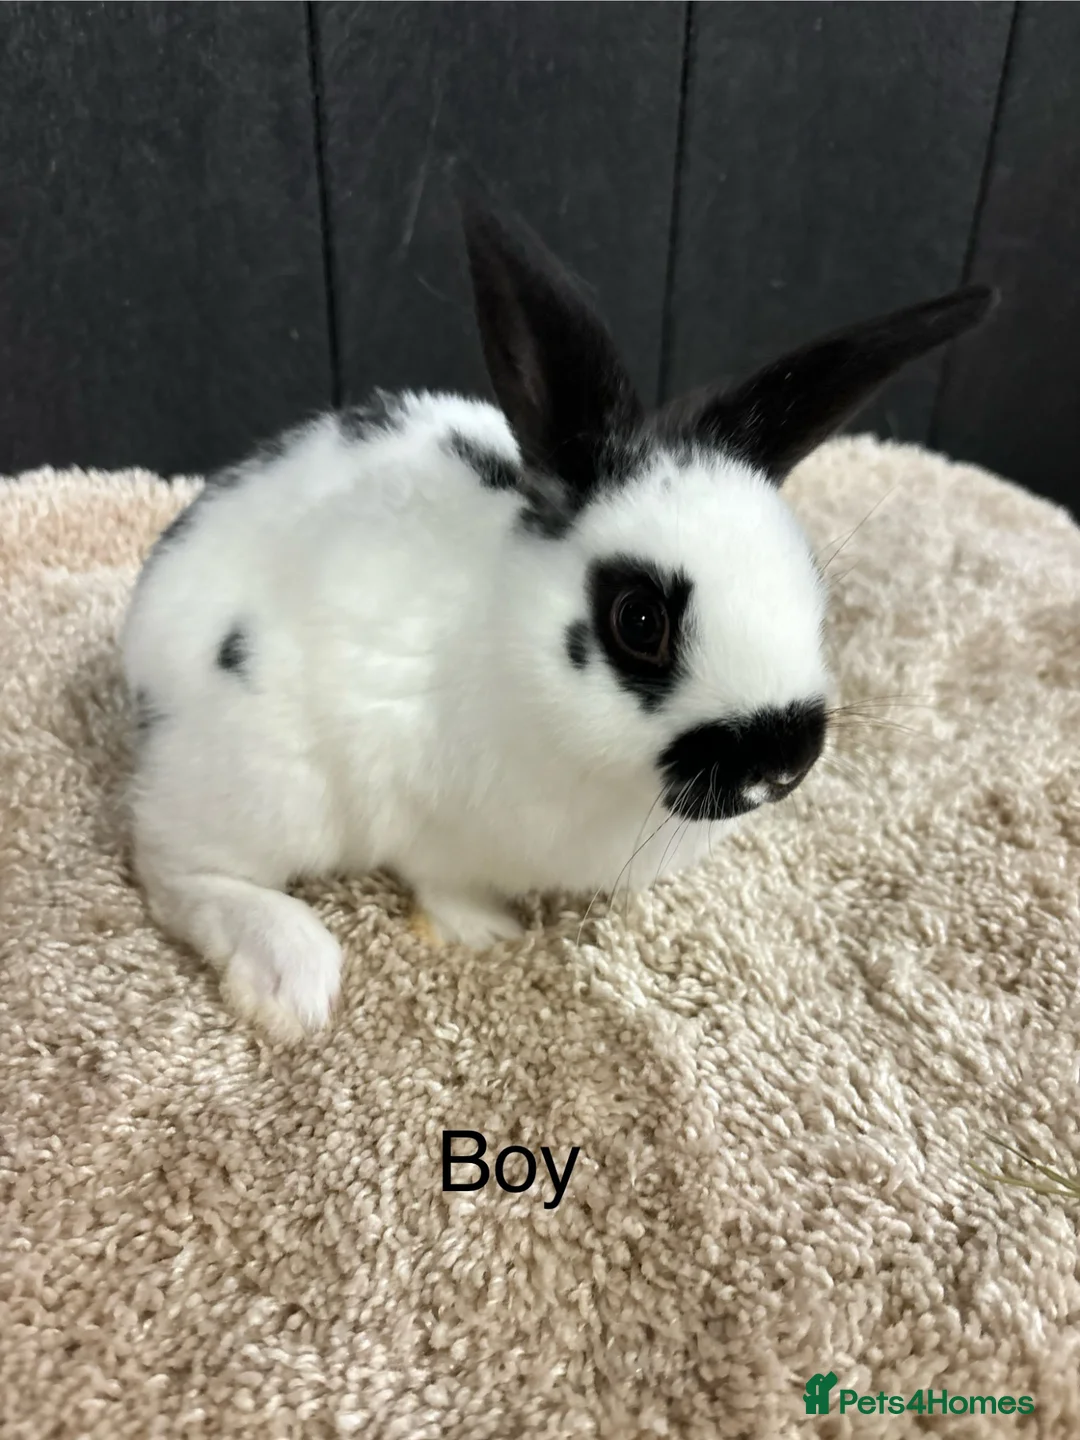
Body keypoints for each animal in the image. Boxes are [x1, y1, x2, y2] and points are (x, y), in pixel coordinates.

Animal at [121, 193, 995, 1039]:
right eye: (638, 622)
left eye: (811, 582)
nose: (782, 764)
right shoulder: (417, 801)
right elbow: (440, 877)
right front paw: (485, 932)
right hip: (270, 779)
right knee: (169, 862)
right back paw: (290, 979)